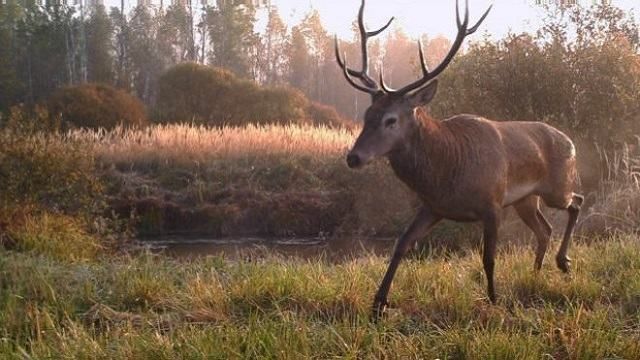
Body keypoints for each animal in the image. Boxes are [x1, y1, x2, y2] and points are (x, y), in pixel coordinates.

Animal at [338, 0, 584, 320]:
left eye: (391, 120)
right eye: (367, 115)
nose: (353, 157)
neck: (446, 172)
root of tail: (571, 141)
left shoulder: (492, 204)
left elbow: (488, 257)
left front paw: (494, 299)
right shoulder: (433, 206)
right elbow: (401, 244)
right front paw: (379, 303)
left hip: (557, 187)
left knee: (576, 202)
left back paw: (563, 262)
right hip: (525, 200)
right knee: (545, 229)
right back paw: (536, 272)